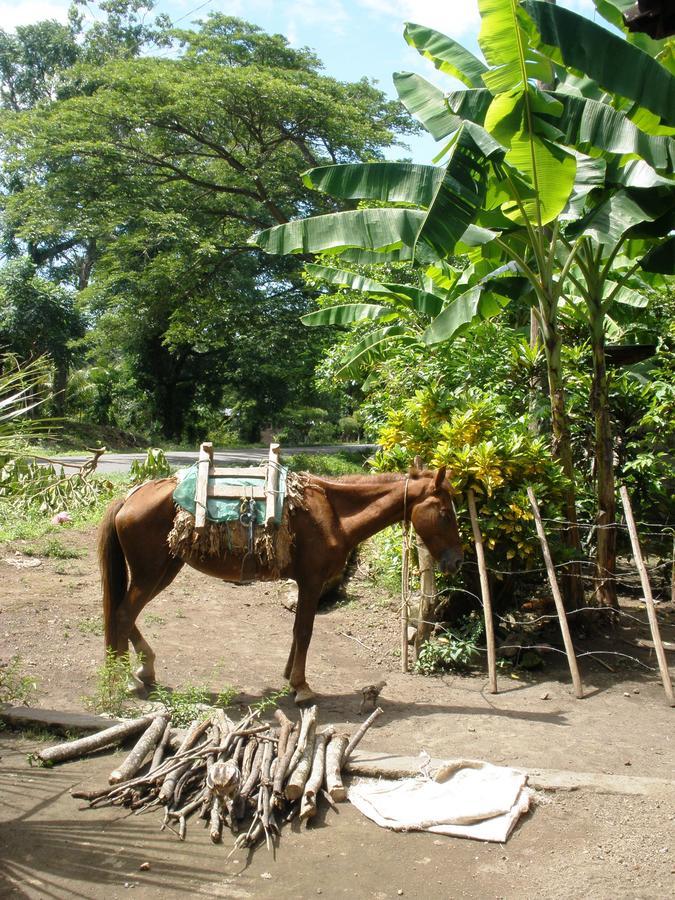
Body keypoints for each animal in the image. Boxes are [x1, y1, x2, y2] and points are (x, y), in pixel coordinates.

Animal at [97, 468, 462, 708]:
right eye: (445, 513)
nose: (456, 561)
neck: (333, 513)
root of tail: (129, 497)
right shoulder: (312, 582)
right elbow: (304, 631)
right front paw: (302, 687)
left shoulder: (305, 583)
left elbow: (297, 631)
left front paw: (289, 677)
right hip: (149, 573)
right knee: (123, 614)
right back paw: (128, 679)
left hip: (164, 571)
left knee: (125, 616)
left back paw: (143, 669)